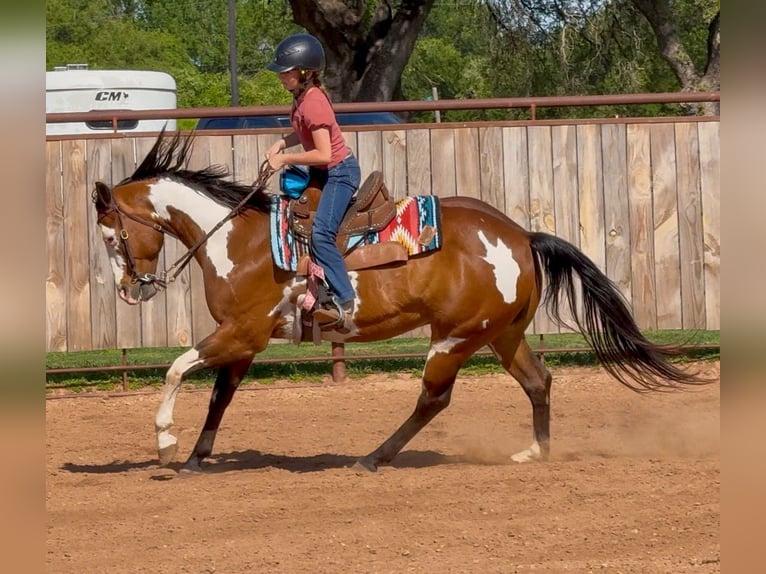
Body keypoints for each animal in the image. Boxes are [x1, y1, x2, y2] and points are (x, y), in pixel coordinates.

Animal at [92, 130, 709, 473]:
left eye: (111, 235)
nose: (130, 289)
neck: (237, 241)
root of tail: (521, 237)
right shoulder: (243, 344)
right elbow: (220, 398)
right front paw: (196, 457)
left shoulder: (241, 334)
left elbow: (176, 368)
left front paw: (165, 443)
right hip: (501, 333)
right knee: (538, 382)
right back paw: (535, 454)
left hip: (455, 338)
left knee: (433, 399)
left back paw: (374, 457)